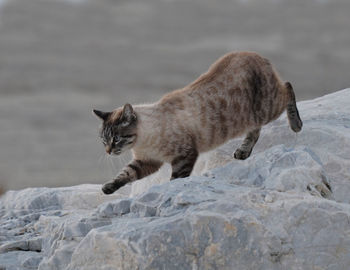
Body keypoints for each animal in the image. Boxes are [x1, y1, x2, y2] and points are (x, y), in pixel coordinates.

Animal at [93, 51, 304, 194]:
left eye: (116, 139)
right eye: (103, 141)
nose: (108, 151)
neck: (142, 143)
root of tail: (257, 55)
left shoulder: (184, 156)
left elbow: (176, 179)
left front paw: (168, 192)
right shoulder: (146, 161)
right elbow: (124, 174)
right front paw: (107, 188)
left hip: (268, 108)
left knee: (288, 88)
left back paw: (296, 125)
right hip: (254, 117)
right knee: (255, 131)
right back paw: (243, 152)